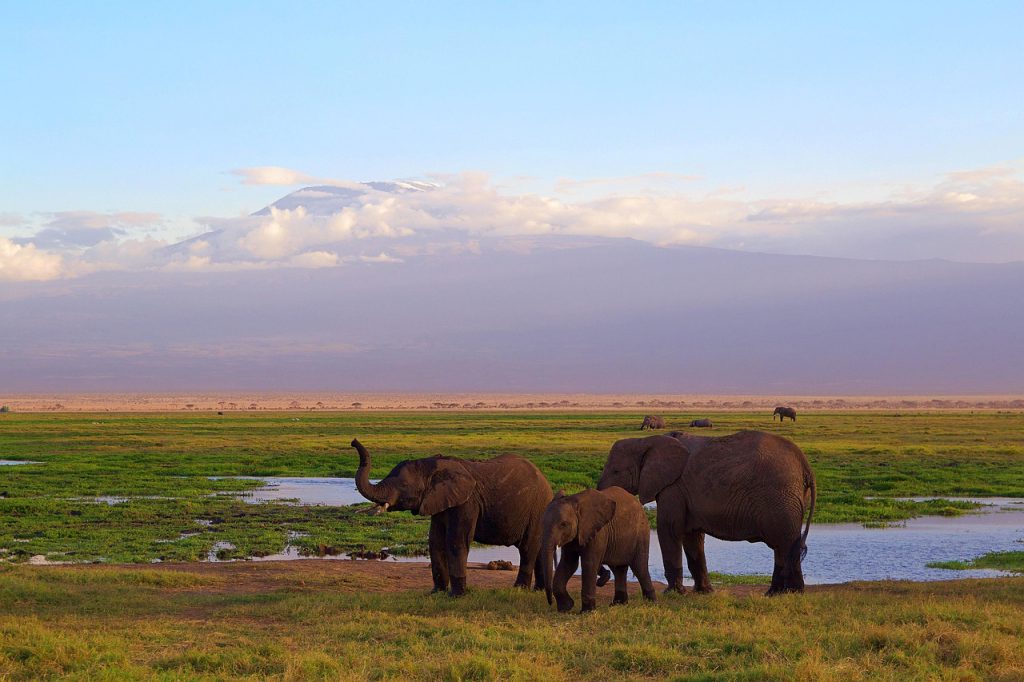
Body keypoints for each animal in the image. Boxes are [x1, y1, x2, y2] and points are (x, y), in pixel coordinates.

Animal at [350, 439, 553, 596]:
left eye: (404, 485)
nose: (353, 442)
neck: (431, 465)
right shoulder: (439, 502)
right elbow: (435, 541)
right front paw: (435, 593)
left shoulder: (466, 503)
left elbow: (456, 542)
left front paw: (456, 596)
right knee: (539, 549)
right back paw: (539, 590)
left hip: (537, 509)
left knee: (527, 549)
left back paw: (520, 589)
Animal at [597, 431, 816, 596]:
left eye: (616, 471)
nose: (603, 578)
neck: (646, 440)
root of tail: (805, 464)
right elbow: (692, 537)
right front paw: (703, 592)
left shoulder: (673, 487)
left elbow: (669, 529)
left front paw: (673, 593)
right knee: (783, 545)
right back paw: (776, 593)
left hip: (780, 497)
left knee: (784, 542)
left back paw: (790, 592)